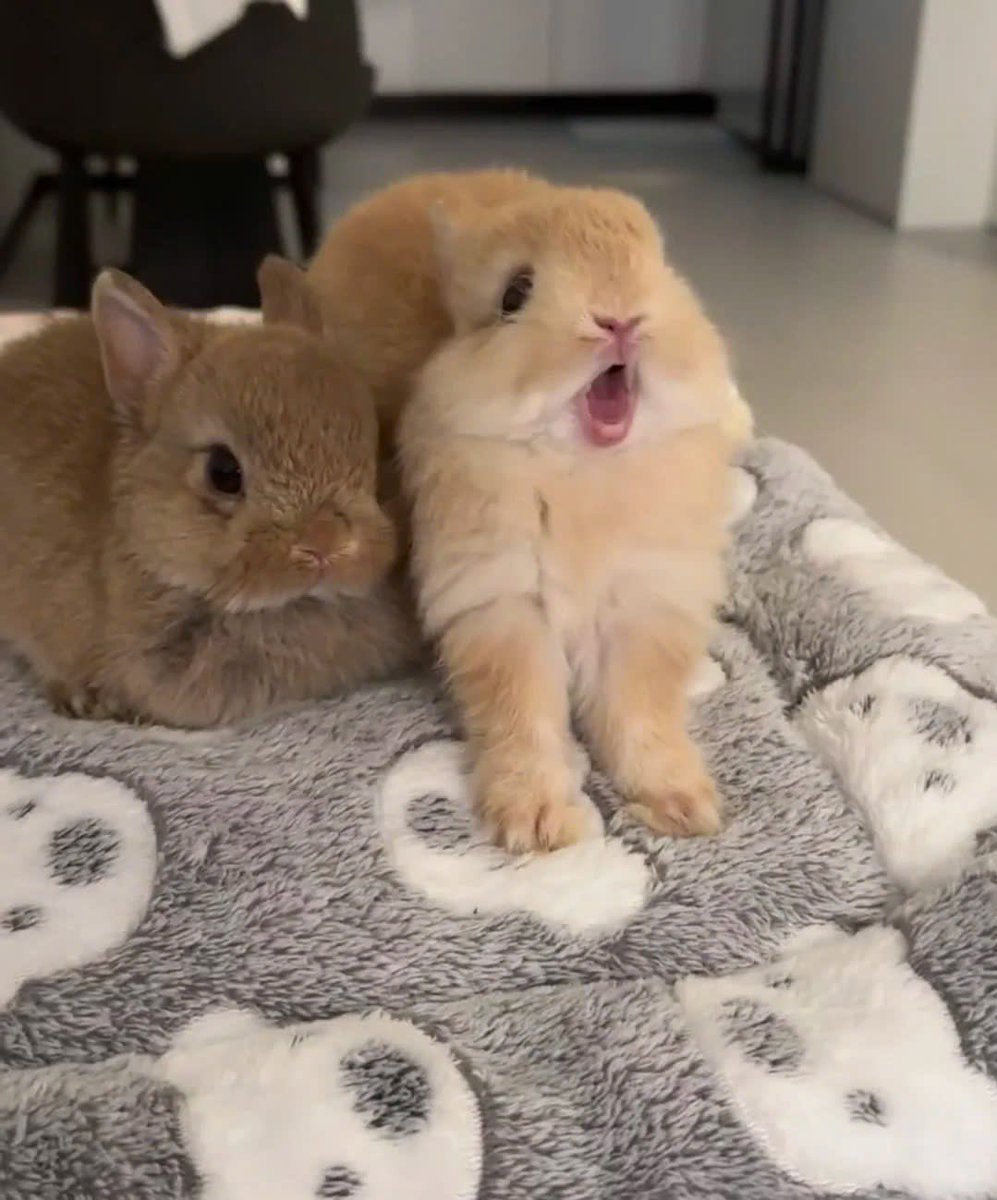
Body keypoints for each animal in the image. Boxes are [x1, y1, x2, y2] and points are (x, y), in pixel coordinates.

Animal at [396, 182, 737, 854]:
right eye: (514, 294)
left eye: (660, 265)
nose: (621, 318)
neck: (583, 470)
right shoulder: (504, 609)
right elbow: (521, 712)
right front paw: (534, 825)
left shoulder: (642, 611)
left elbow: (639, 711)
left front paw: (683, 808)